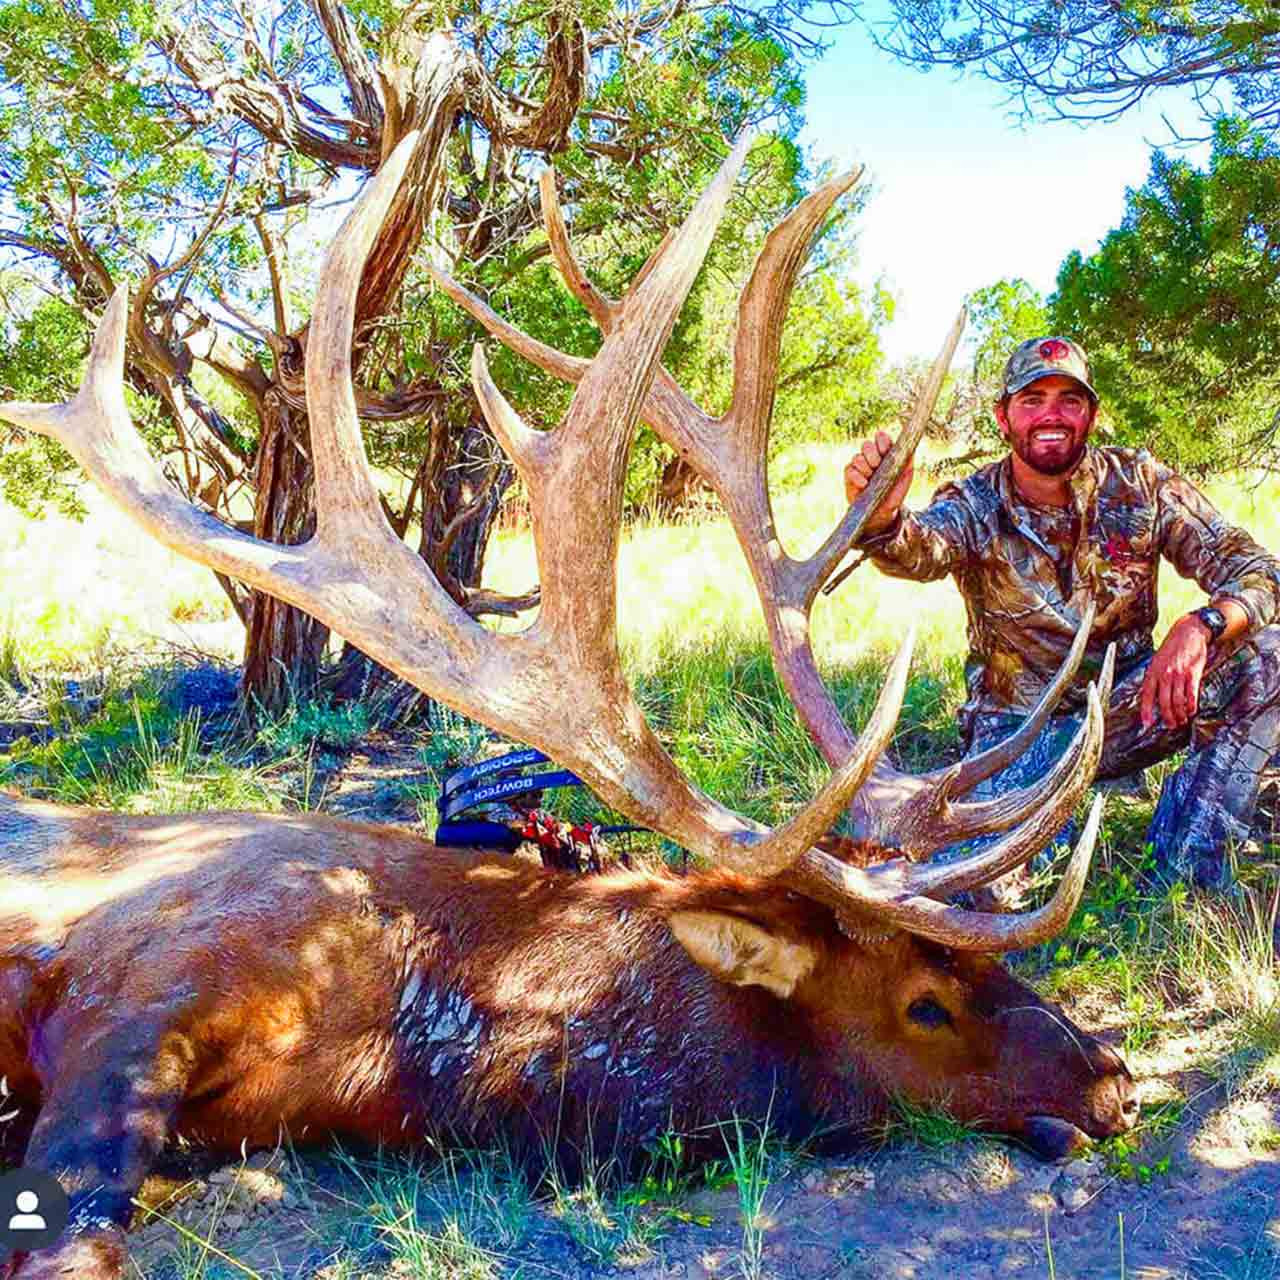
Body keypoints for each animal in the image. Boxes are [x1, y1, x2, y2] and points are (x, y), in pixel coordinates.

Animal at [0, 133, 1137, 1279]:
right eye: (924, 1002)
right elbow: (77, 1232)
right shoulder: (151, 978)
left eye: (992, 962)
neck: (390, 1033)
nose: (1113, 1077)